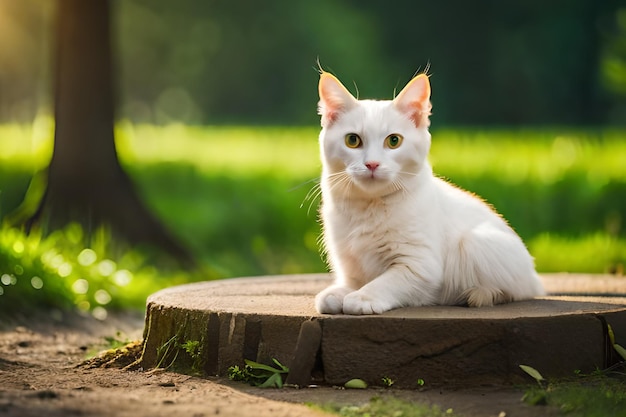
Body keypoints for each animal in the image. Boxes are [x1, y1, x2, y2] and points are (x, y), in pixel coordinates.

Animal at [314, 71, 544, 314]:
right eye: (352, 140)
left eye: (394, 141)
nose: (372, 164)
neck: (369, 207)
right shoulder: (350, 264)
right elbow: (353, 282)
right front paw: (339, 292)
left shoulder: (420, 266)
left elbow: (385, 282)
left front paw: (363, 297)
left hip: (474, 243)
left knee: (515, 291)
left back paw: (479, 294)